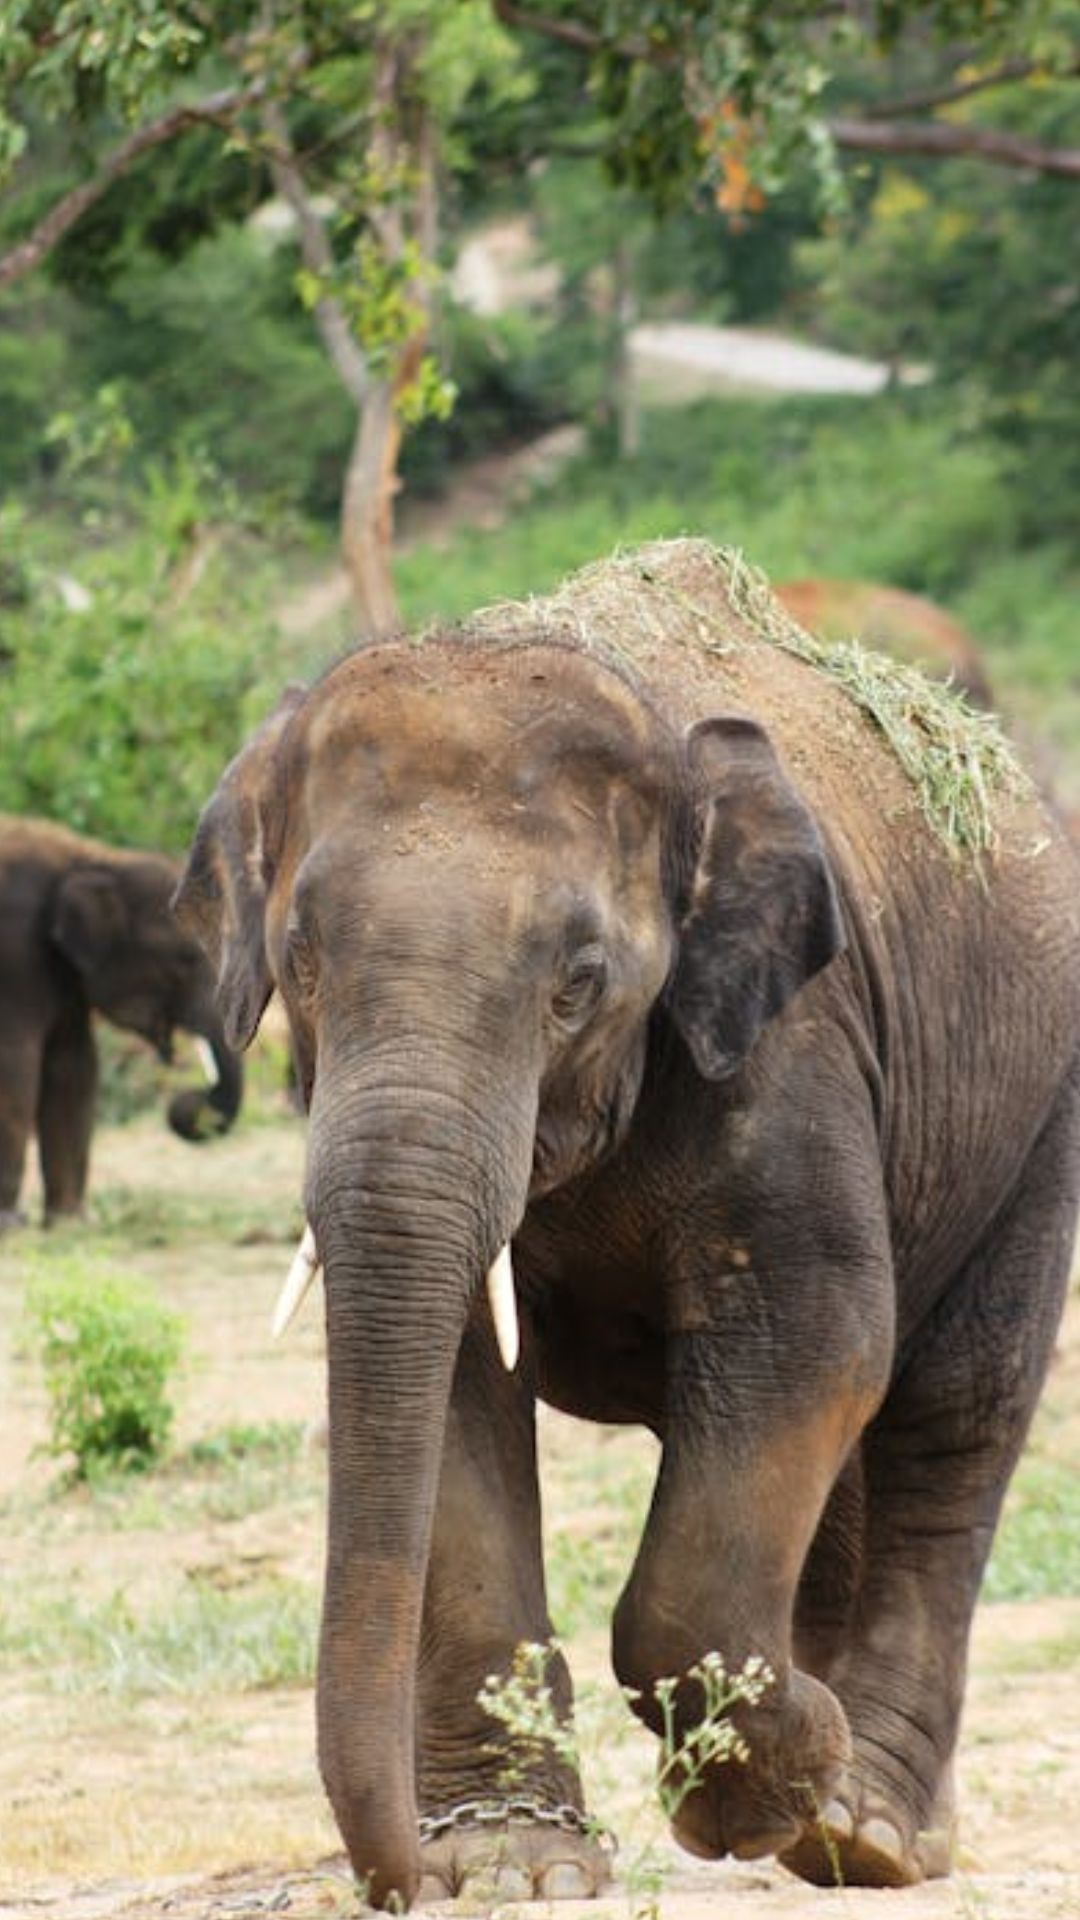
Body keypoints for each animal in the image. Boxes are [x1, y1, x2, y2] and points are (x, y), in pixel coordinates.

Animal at [0, 814, 243, 1228]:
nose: (188, 1098)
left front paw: (71, 1222)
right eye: (184, 959)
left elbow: (74, 1066)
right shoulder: (16, 952)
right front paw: (11, 1223)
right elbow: (17, 1067)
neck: (94, 858)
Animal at [176, 537, 1076, 1904]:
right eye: (302, 960)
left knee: (954, 1409)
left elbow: (815, 1346)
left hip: (1038, 1112)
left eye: (580, 982)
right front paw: (513, 1868)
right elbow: (456, 1394)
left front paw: (771, 1779)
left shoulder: (789, 1049)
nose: (398, 1881)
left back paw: (866, 1830)